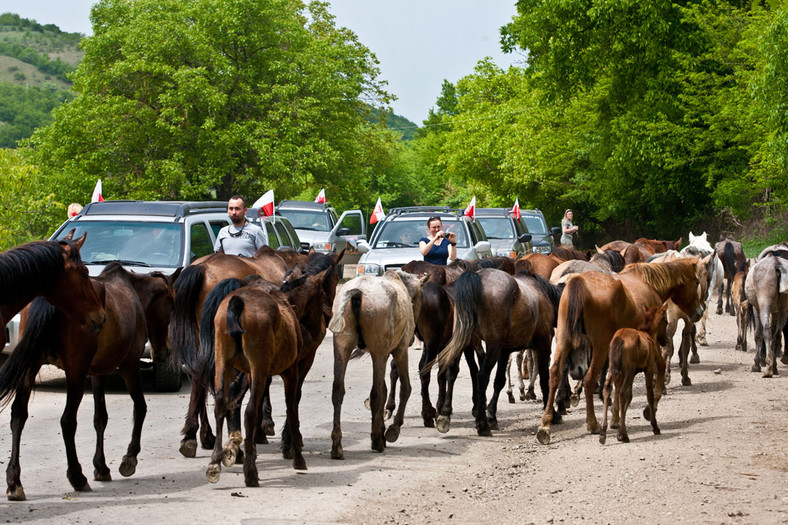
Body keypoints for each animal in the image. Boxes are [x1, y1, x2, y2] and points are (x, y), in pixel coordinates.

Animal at [0, 264, 175, 502]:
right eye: (172, 305)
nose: (164, 352)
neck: (134, 293)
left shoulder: (97, 373)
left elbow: (100, 418)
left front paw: (101, 467)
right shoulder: (129, 367)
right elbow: (140, 408)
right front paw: (129, 458)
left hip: (31, 366)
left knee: (19, 415)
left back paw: (14, 482)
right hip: (75, 373)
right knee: (67, 421)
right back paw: (77, 477)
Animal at [600, 300, 668, 444]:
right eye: (666, 322)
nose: (665, 340)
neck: (648, 335)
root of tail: (619, 339)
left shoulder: (625, 372)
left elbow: (630, 396)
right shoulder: (648, 368)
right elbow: (649, 394)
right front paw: (655, 426)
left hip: (614, 368)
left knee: (607, 389)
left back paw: (603, 432)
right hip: (629, 369)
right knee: (622, 392)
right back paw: (624, 435)